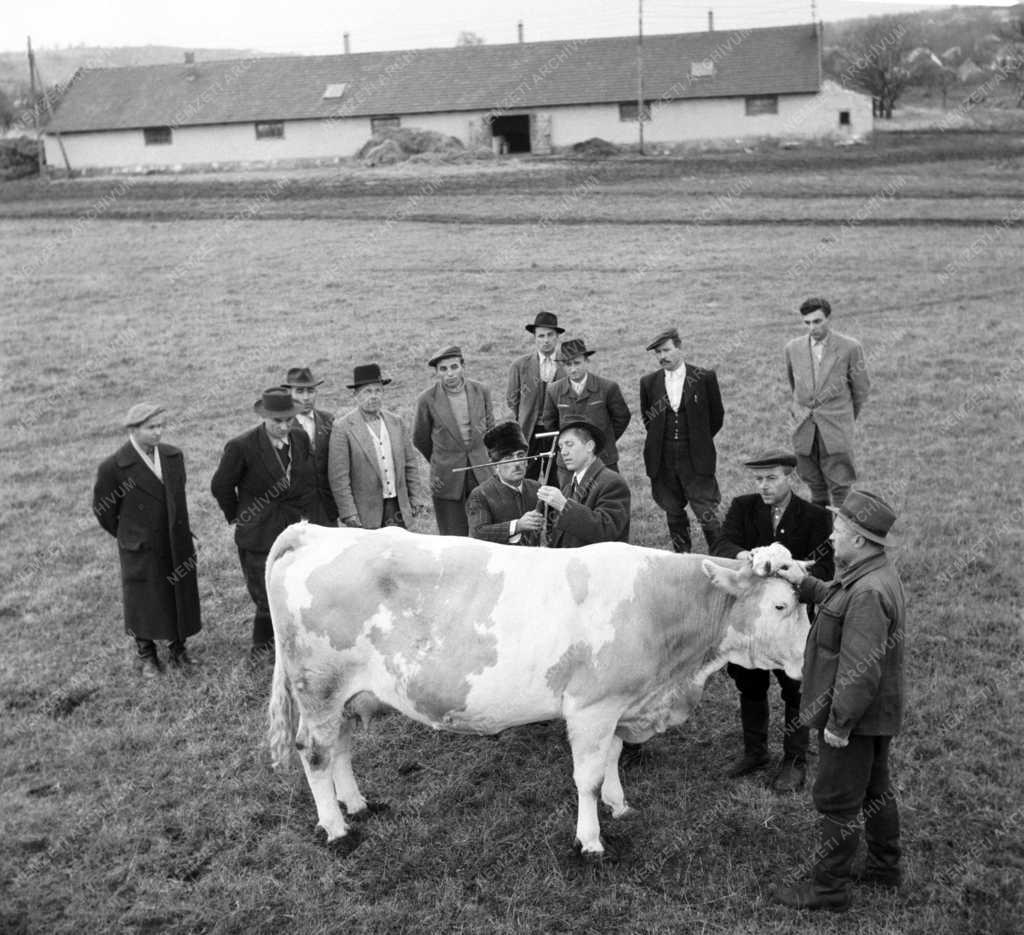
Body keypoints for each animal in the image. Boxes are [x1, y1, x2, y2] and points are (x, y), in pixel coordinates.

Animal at [268, 522, 811, 856]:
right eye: (782, 606)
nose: (809, 658)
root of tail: (313, 531)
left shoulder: (619, 705)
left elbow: (612, 758)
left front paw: (619, 804)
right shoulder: (592, 707)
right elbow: (587, 776)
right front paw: (590, 841)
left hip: (342, 695)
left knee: (340, 747)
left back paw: (356, 804)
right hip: (318, 688)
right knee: (314, 752)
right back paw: (336, 828)